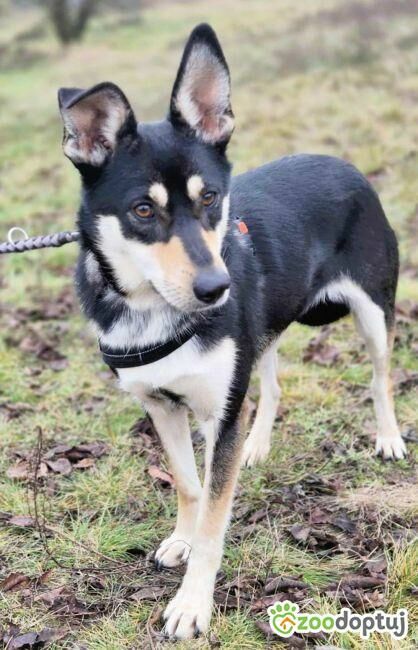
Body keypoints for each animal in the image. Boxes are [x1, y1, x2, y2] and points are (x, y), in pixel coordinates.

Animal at [57, 23, 406, 640]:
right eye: (143, 210)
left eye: (211, 198)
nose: (216, 288)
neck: (154, 308)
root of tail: (343, 163)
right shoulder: (162, 405)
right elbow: (189, 483)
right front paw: (181, 536)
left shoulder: (219, 409)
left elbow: (215, 520)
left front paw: (192, 602)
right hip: (260, 330)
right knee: (271, 384)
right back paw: (258, 443)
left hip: (372, 311)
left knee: (379, 376)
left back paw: (387, 437)